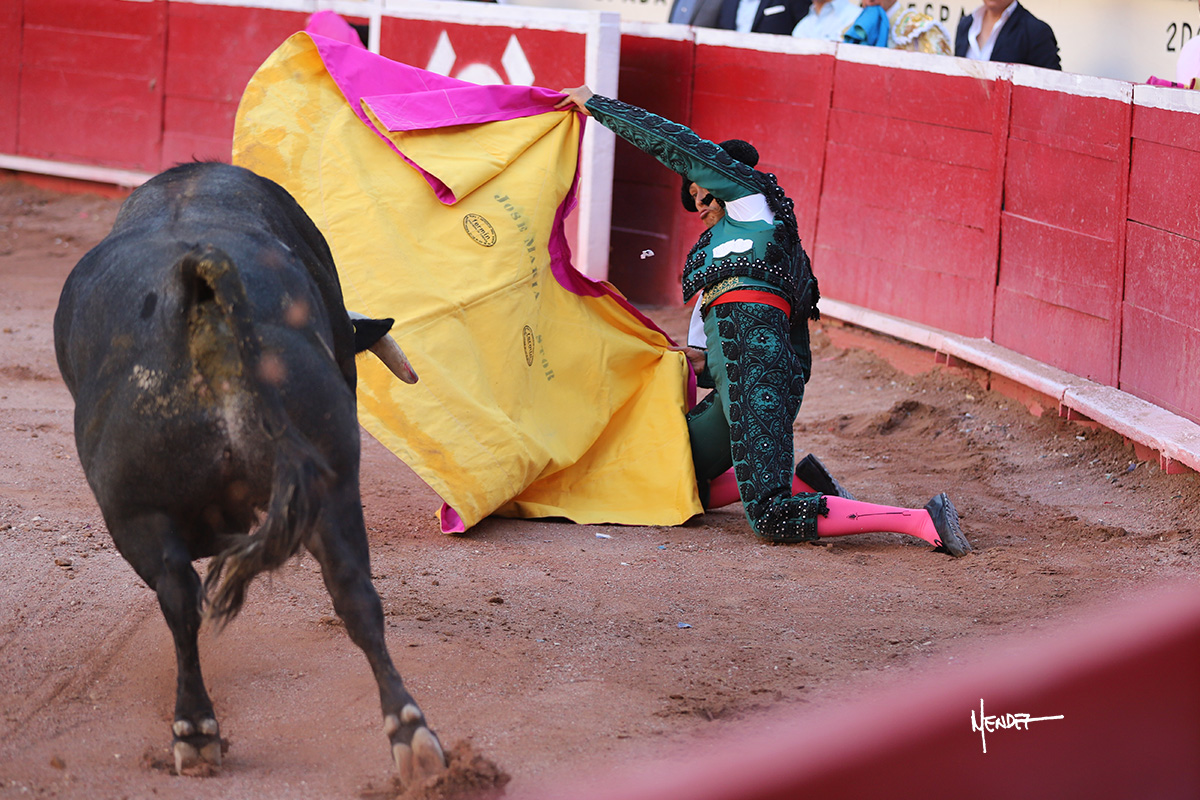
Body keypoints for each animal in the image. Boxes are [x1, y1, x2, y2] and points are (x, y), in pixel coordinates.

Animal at [53, 161, 444, 784]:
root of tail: (199, 288)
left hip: (140, 510)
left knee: (182, 599)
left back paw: (197, 729)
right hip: (322, 481)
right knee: (351, 595)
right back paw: (410, 737)